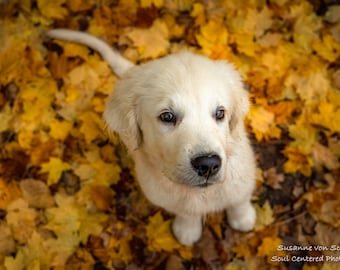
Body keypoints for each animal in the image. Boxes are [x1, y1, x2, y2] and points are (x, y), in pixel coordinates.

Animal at [46, 29, 256, 245]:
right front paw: (187, 230)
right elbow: (186, 212)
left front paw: (243, 219)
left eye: (220, 113)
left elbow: (239, 199)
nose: (208, 164)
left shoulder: (243, 177)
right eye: (167, 117)